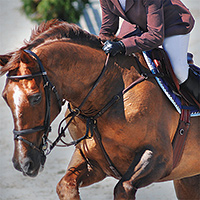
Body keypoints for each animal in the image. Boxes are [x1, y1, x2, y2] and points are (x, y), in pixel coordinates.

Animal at [0, 19, 199, 198]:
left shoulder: (159, 157)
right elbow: (65, 186)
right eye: (5, 97)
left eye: (36, 98)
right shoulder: (92, 162)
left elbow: (123, 188)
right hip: (187, 180)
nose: (23, 164)